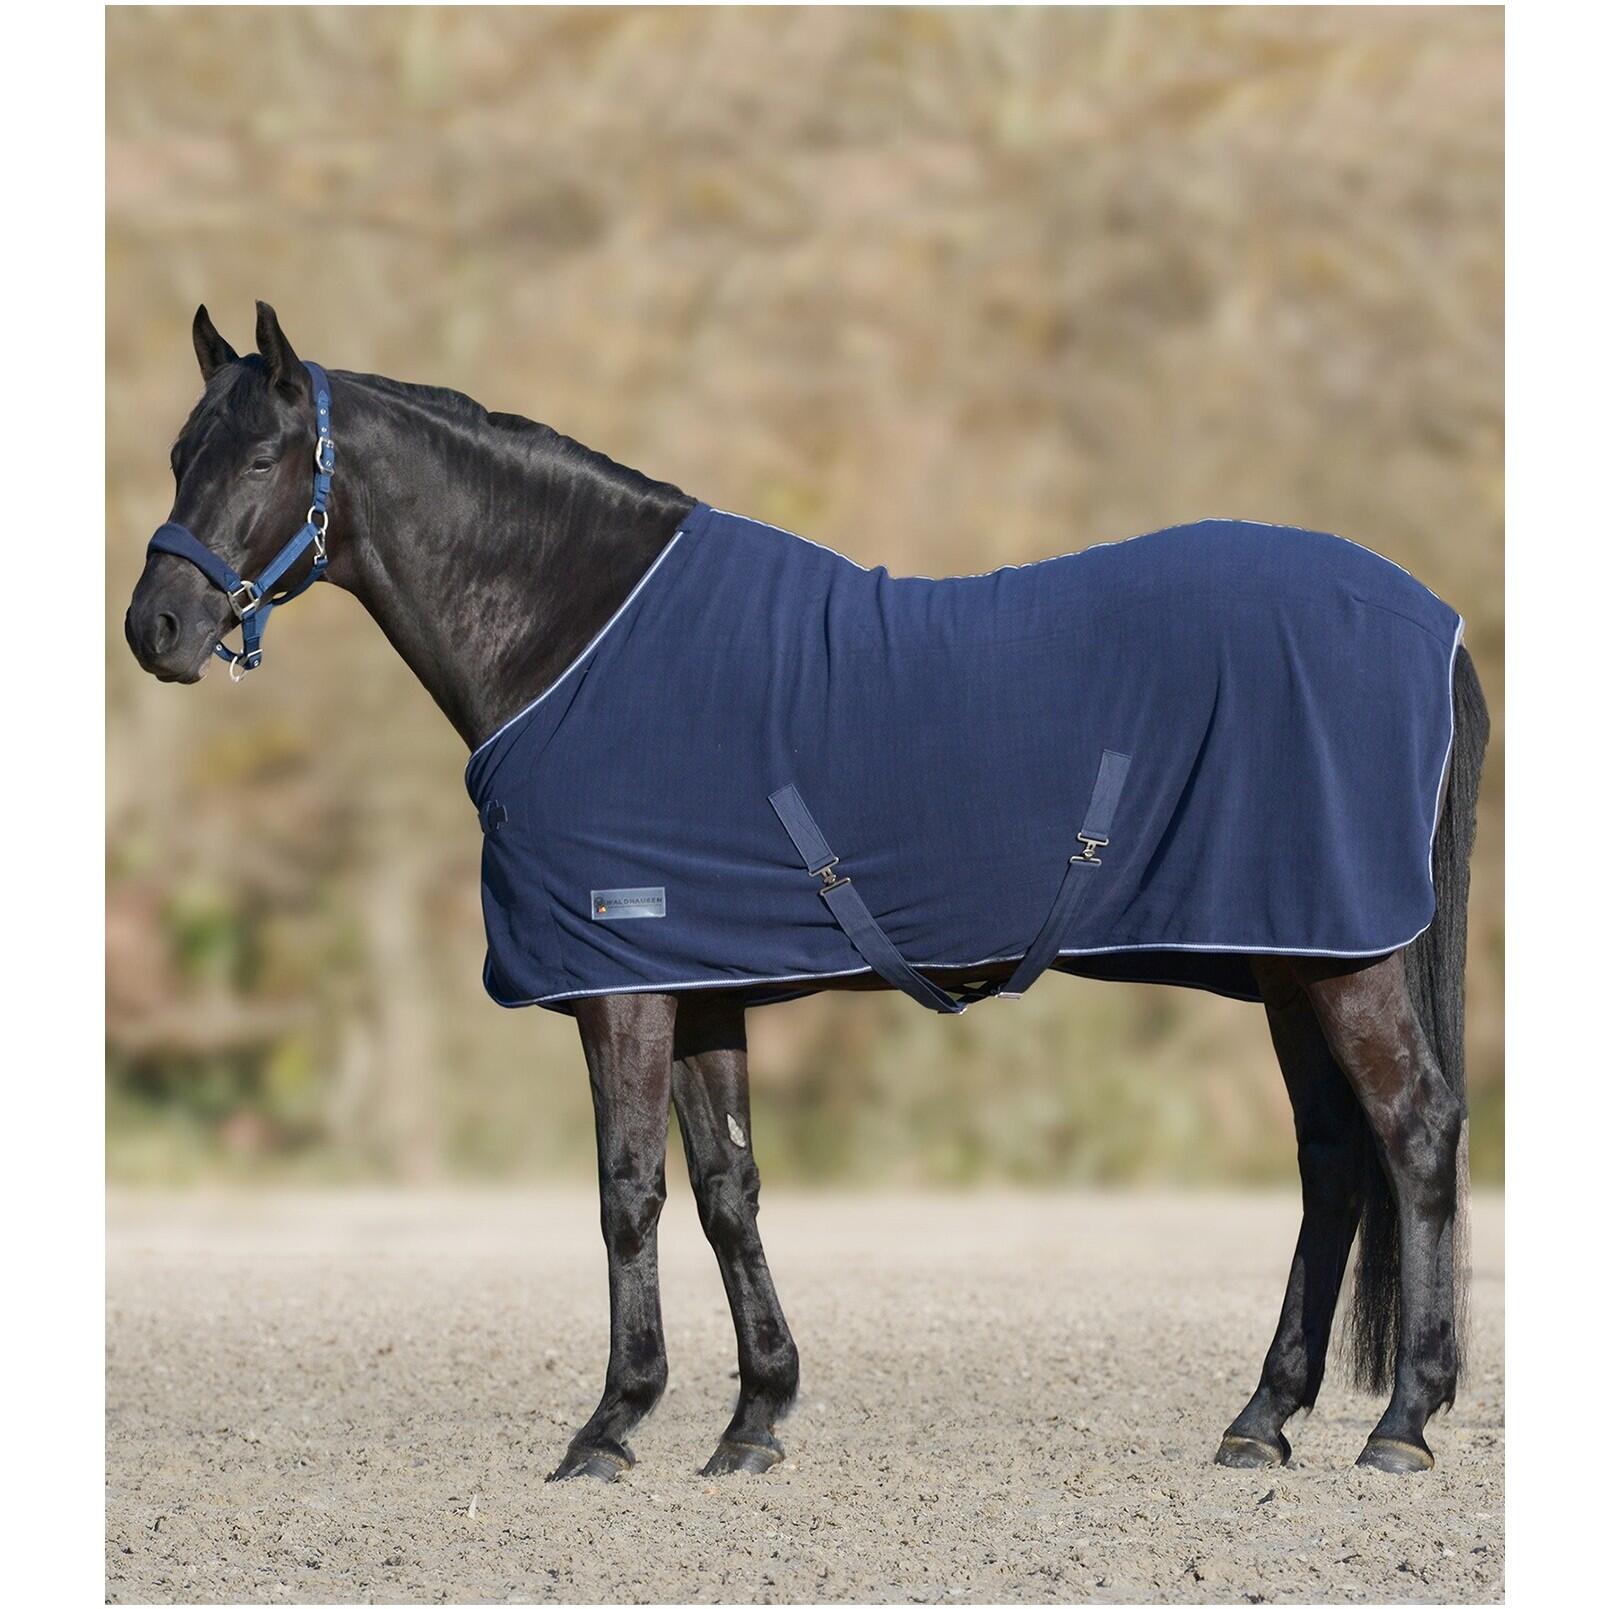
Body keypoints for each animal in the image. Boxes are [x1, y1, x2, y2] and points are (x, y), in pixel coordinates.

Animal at [123, 302, 1488, 1481]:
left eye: (261, 456)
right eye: (180, 454)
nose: (156, 629)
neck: (578, 637)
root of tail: (1432, 618)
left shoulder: (623, 987)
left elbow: (628, 1194)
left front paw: (610, 1425)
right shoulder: (699, 982)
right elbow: (727, 1192)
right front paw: (753, 1419)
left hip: (1343, 960)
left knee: (1413, 1130)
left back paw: (1402, 1422)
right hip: (1289, 957)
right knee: (1332, 1157)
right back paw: (1263, 1417)